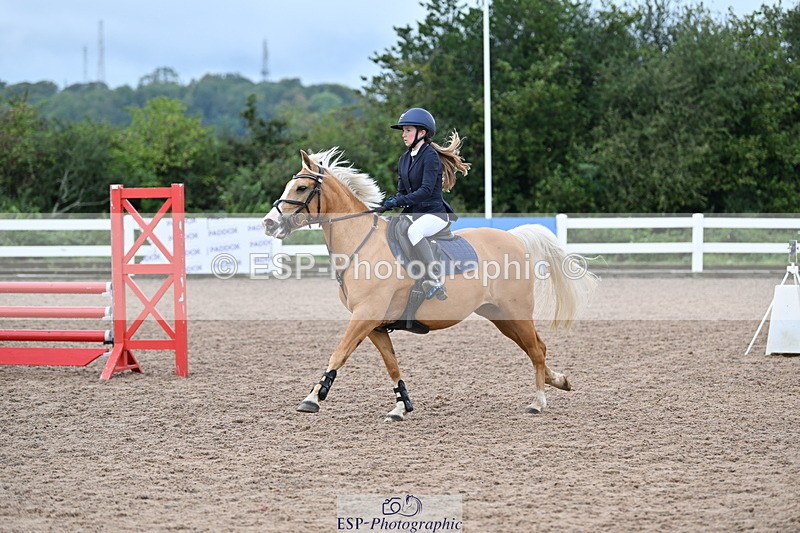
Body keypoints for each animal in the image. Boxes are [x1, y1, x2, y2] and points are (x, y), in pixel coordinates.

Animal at [262, 148, 597, 421]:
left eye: (302, 187)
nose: (268, 223)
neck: (362, 244)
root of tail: (514, 237)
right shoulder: (375, 325)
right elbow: (392, 365)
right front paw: (400, 406)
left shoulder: (364, 316)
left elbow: (338, 353)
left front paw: (313, 398)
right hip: (500, 316)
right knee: (536, 348)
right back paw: (559, 381)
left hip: (516, 313)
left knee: (537, 349)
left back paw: (538, 402)